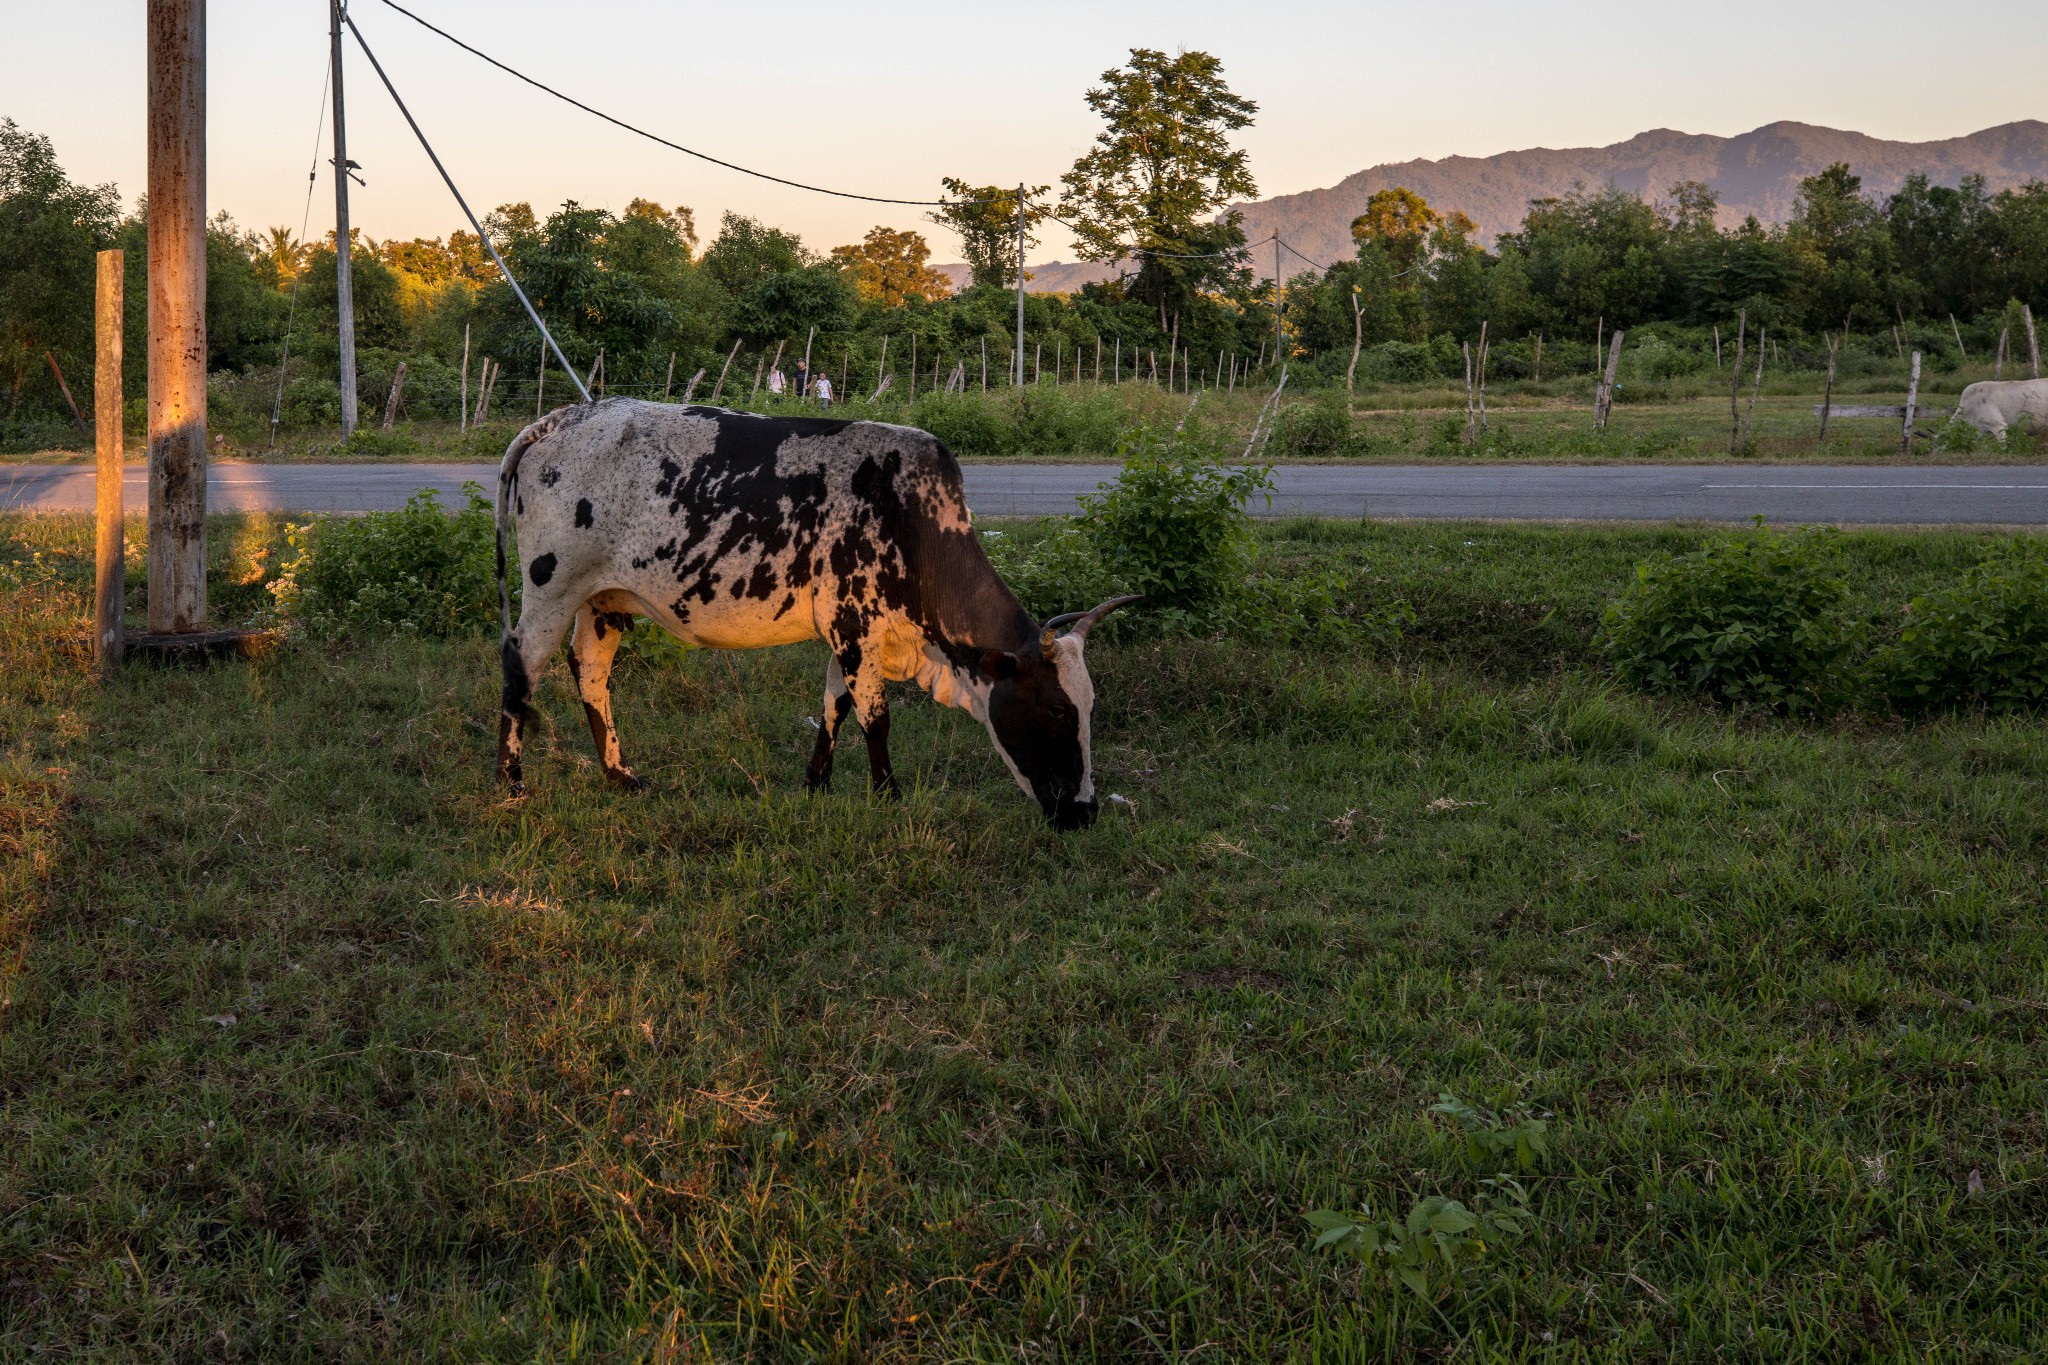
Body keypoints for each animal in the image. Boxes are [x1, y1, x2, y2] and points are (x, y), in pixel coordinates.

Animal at [489, 397, 1146, 834]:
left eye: (1089, 708)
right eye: (1058, 710)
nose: (1085, 811)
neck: (911, 519)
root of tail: (560, 418)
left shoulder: (850, 634)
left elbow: (835, 708)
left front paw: (816, 784)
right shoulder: (855, 627)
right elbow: (875, 718)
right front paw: (888, 796)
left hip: (600, 600)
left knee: (590, 674)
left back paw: (620, 775)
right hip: (551, 589)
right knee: (521, 668)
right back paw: (511, 784)